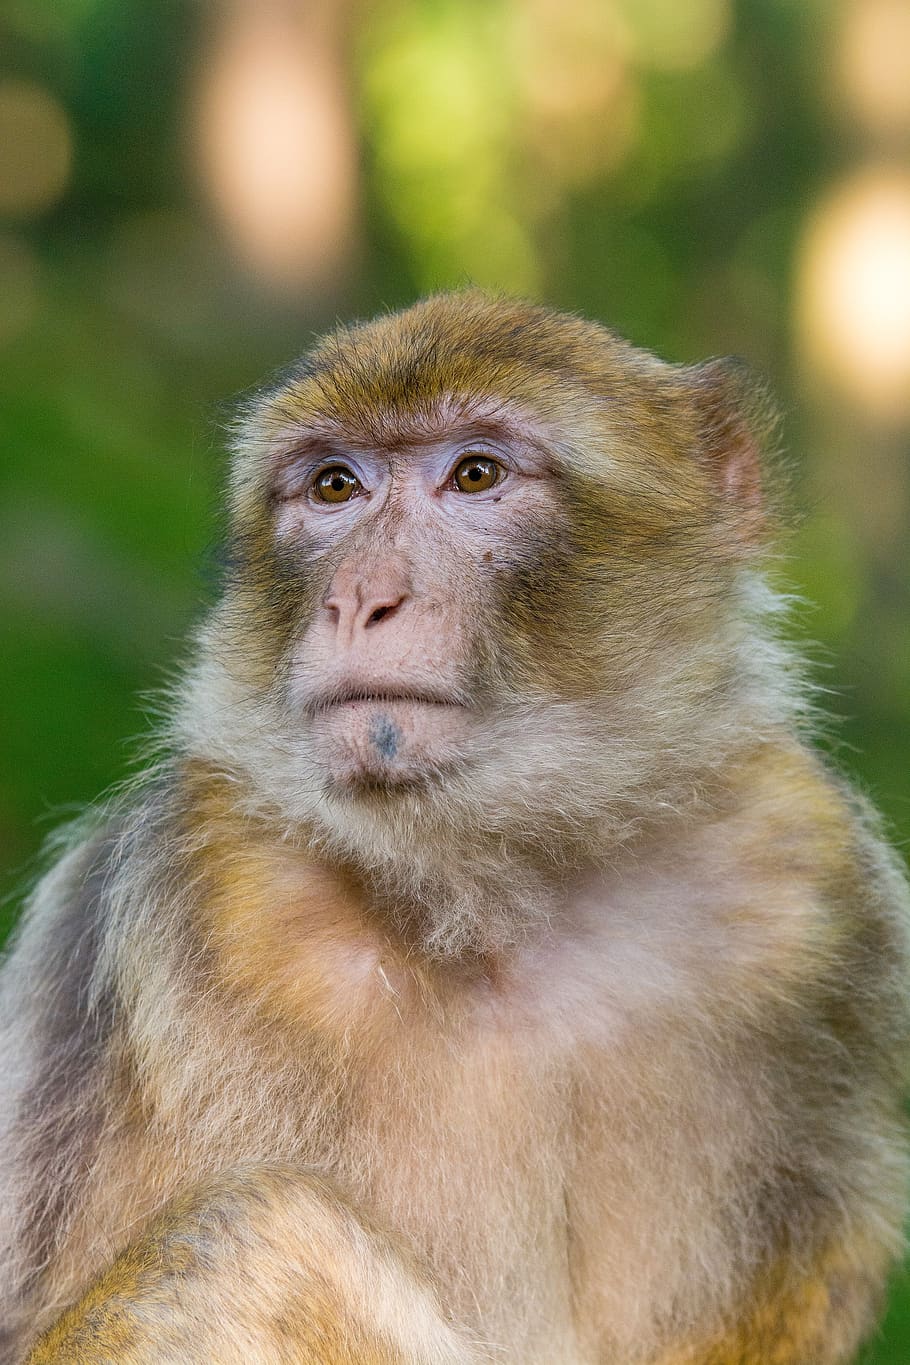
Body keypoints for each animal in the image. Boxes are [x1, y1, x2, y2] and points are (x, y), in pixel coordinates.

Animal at [1, 290, 908, 1364]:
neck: (501, 897)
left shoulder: (808, 876)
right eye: (335, 486)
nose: (360, 596)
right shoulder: (203, 882)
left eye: (476, 474)